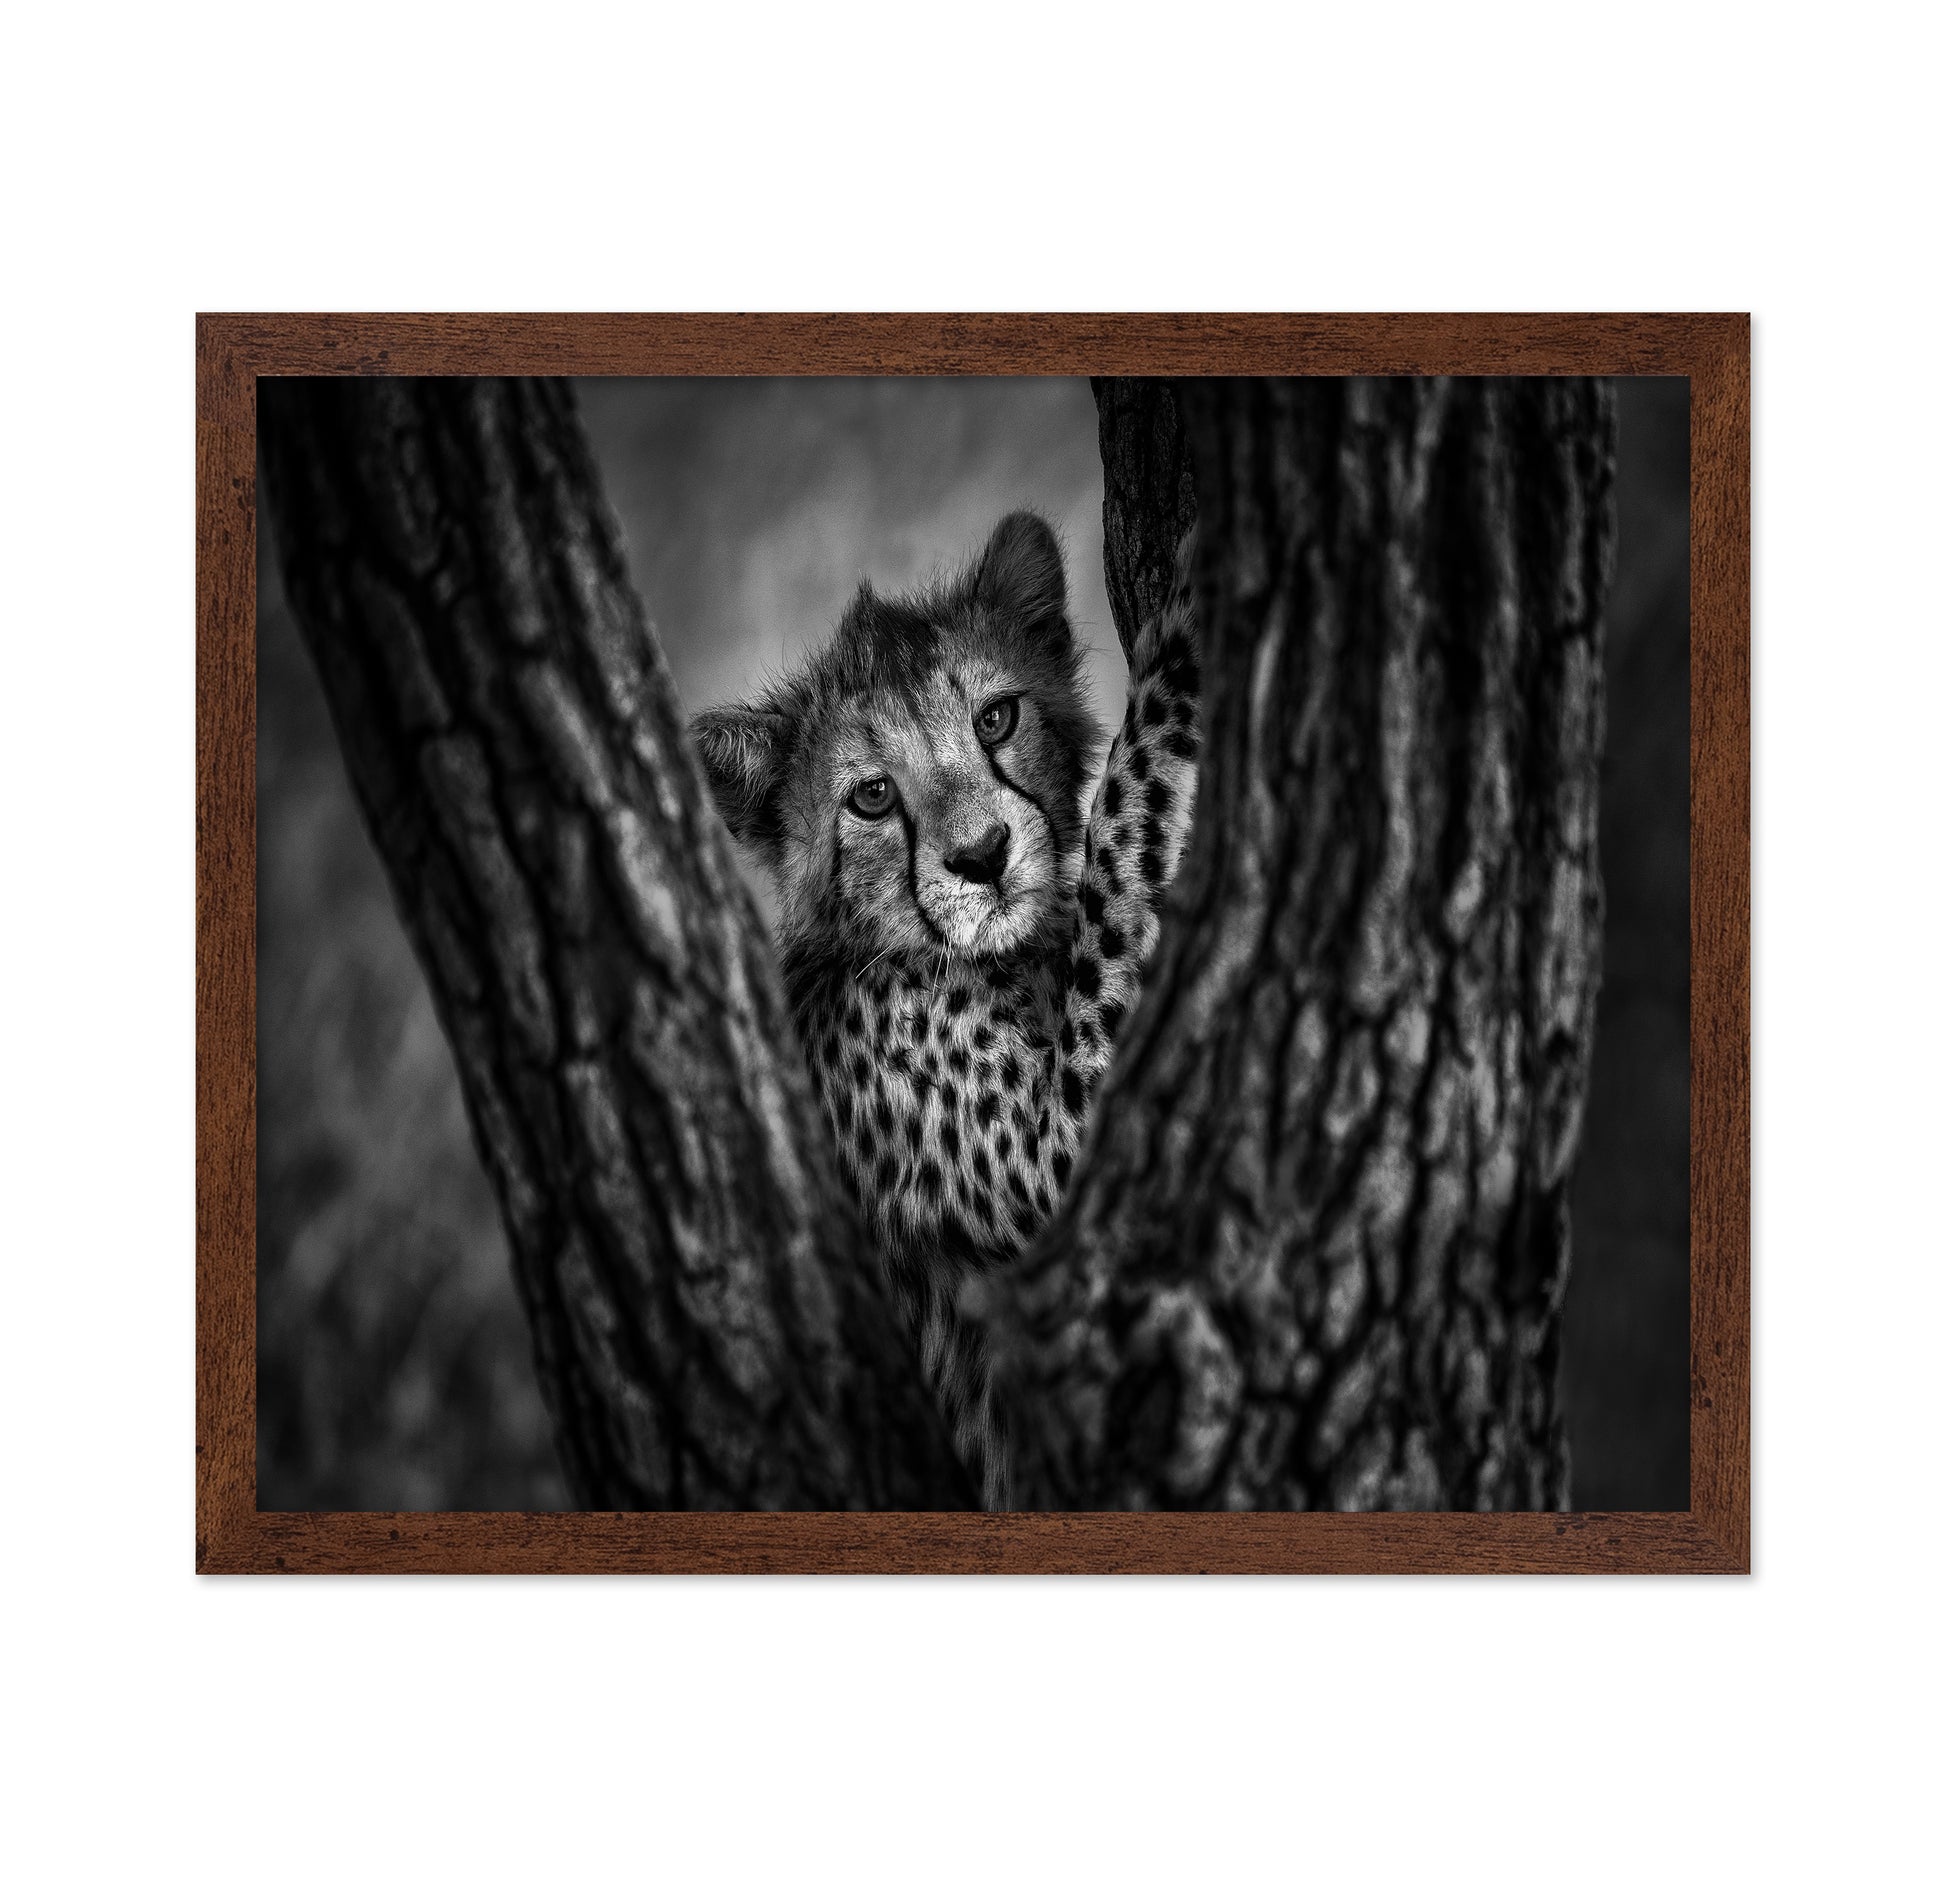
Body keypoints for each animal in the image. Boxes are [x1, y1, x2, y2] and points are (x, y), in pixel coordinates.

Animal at [691, 510, 1199, 1506]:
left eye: (995, 718)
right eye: (872, 794)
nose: (983, 854)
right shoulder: (1062, 1181)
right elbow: (1124, 826)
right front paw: (1183, 648)